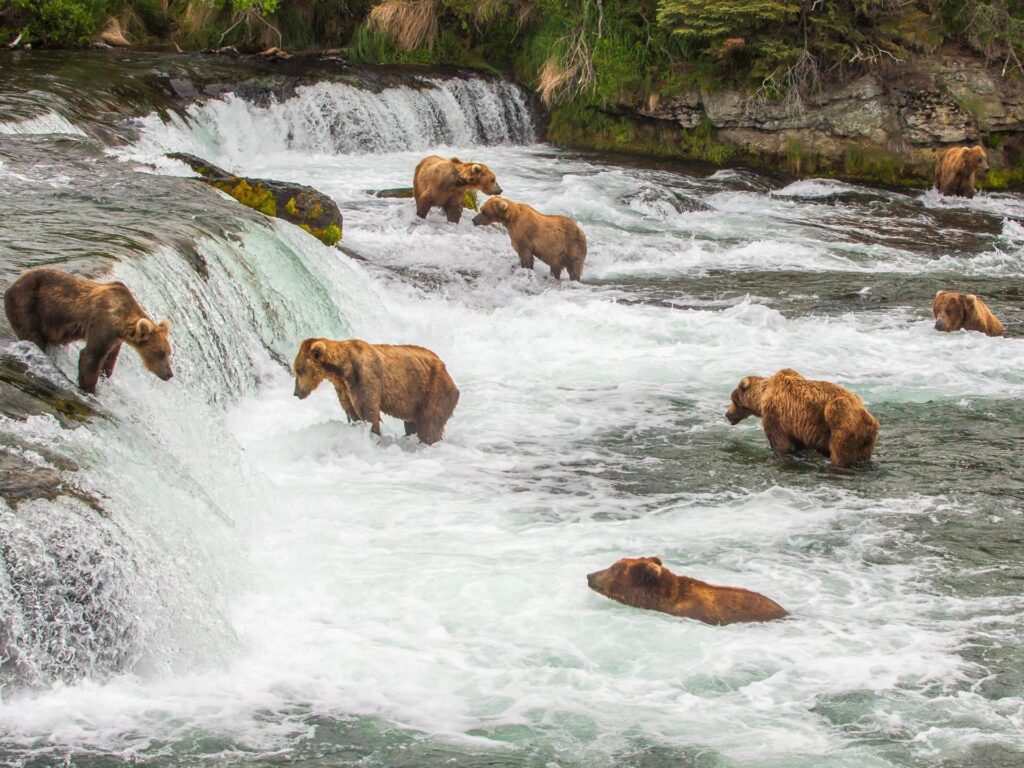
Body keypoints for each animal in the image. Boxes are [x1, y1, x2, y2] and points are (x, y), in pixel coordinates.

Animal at [3, 266, 174, 397]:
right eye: (160, 352)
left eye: (168, 352)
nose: (169, 374)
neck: (122, 323)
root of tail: (12, 284)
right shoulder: (103, 325)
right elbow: (91, 357)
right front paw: (91, 390)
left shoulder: (115, 340)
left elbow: (108, 360)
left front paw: (105, 377)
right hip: (27, 305)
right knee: (33, 336)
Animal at [292, 335, 460, 444]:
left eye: (299, 370)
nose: (296, 392)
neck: (341, 369)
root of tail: (447, 371)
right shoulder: (343, 389)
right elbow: (353, 414)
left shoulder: (363, 379)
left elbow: (369, 414)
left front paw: (373, 436)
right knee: (412, 424)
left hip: (433, 391)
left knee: (429, 426)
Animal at [724, 368, 876, 468]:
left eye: (733, 400)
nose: (727, 414)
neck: (762, 397)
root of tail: (868, 418)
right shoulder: (797, 427)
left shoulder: (775, 416)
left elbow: (780, 443)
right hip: (864, 440)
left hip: (840, 425)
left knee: (840, 454)